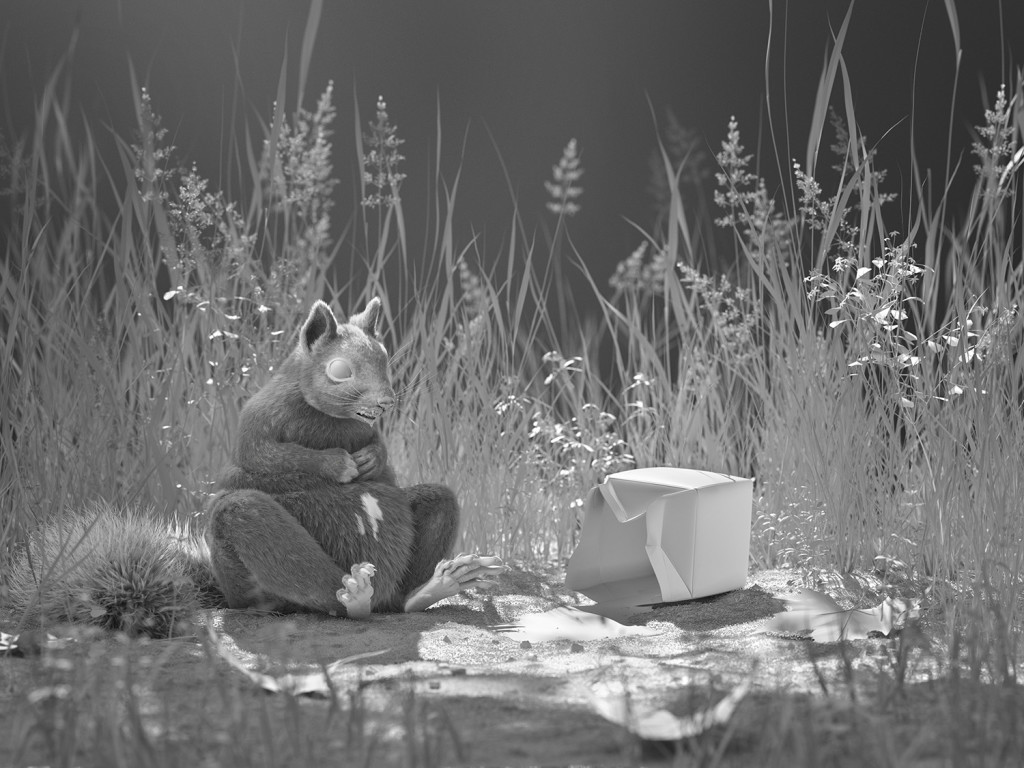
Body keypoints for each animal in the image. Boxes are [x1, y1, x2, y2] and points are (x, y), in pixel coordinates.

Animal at [206, 298, 504, 618]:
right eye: (339, 370)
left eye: (385, 360)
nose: (386, 402)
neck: (333, 418)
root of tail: (378, 598)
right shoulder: (259, 419)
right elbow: (265, 454)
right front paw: (341, 464)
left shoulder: (368, 430)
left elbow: (381, 446)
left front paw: (370, 459)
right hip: (252, 536)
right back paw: (353, 596)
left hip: (431, 515)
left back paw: (432, 588)